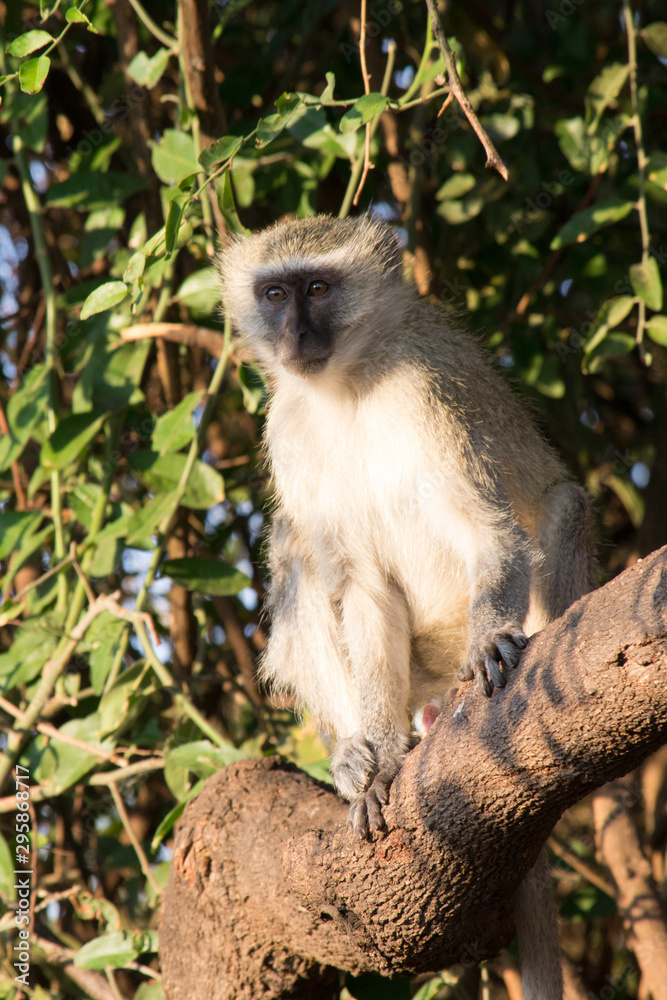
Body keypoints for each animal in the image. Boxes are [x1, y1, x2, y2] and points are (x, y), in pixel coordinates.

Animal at [218, 217, 596, 1000]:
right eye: (275, 294)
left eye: (318, 287)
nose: (296, 334)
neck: (346, 386)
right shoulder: (286, 426)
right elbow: (361, 586)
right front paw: (380, 761)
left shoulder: (427, 390)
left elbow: (489, 530)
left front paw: (493, 644)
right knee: (298, 545)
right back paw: (359, 753)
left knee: (562, 504)